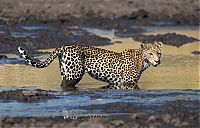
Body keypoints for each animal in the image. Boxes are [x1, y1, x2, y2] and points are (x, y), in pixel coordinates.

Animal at [17, 41, 162, 90]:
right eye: (150, 54)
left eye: (159, 53)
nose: (157, 61)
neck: (142, 61)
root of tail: (64, 45)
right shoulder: (127, 83)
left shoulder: (116, 82)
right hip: (73, 75)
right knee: (66, 85)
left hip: (65, 73)